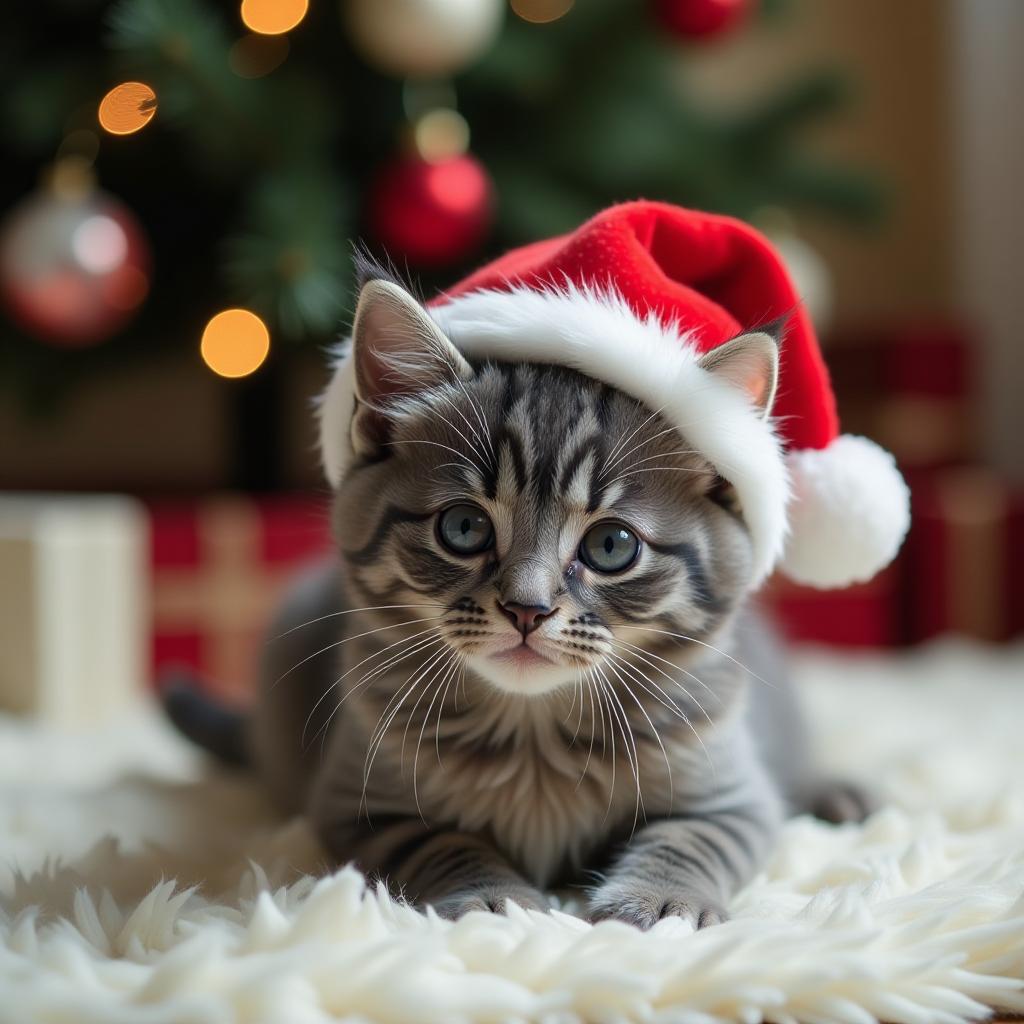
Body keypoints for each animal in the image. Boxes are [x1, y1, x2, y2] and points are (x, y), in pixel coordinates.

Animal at [163, 258, 868, 929]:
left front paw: (663, 899)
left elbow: (690, 840)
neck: (533, 736)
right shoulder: (357, 807)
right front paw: (493, 898)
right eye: (463, 528)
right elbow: (444, 843)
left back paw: (838, 793)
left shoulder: (732, 799)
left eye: (611, 545)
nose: (527, 608)